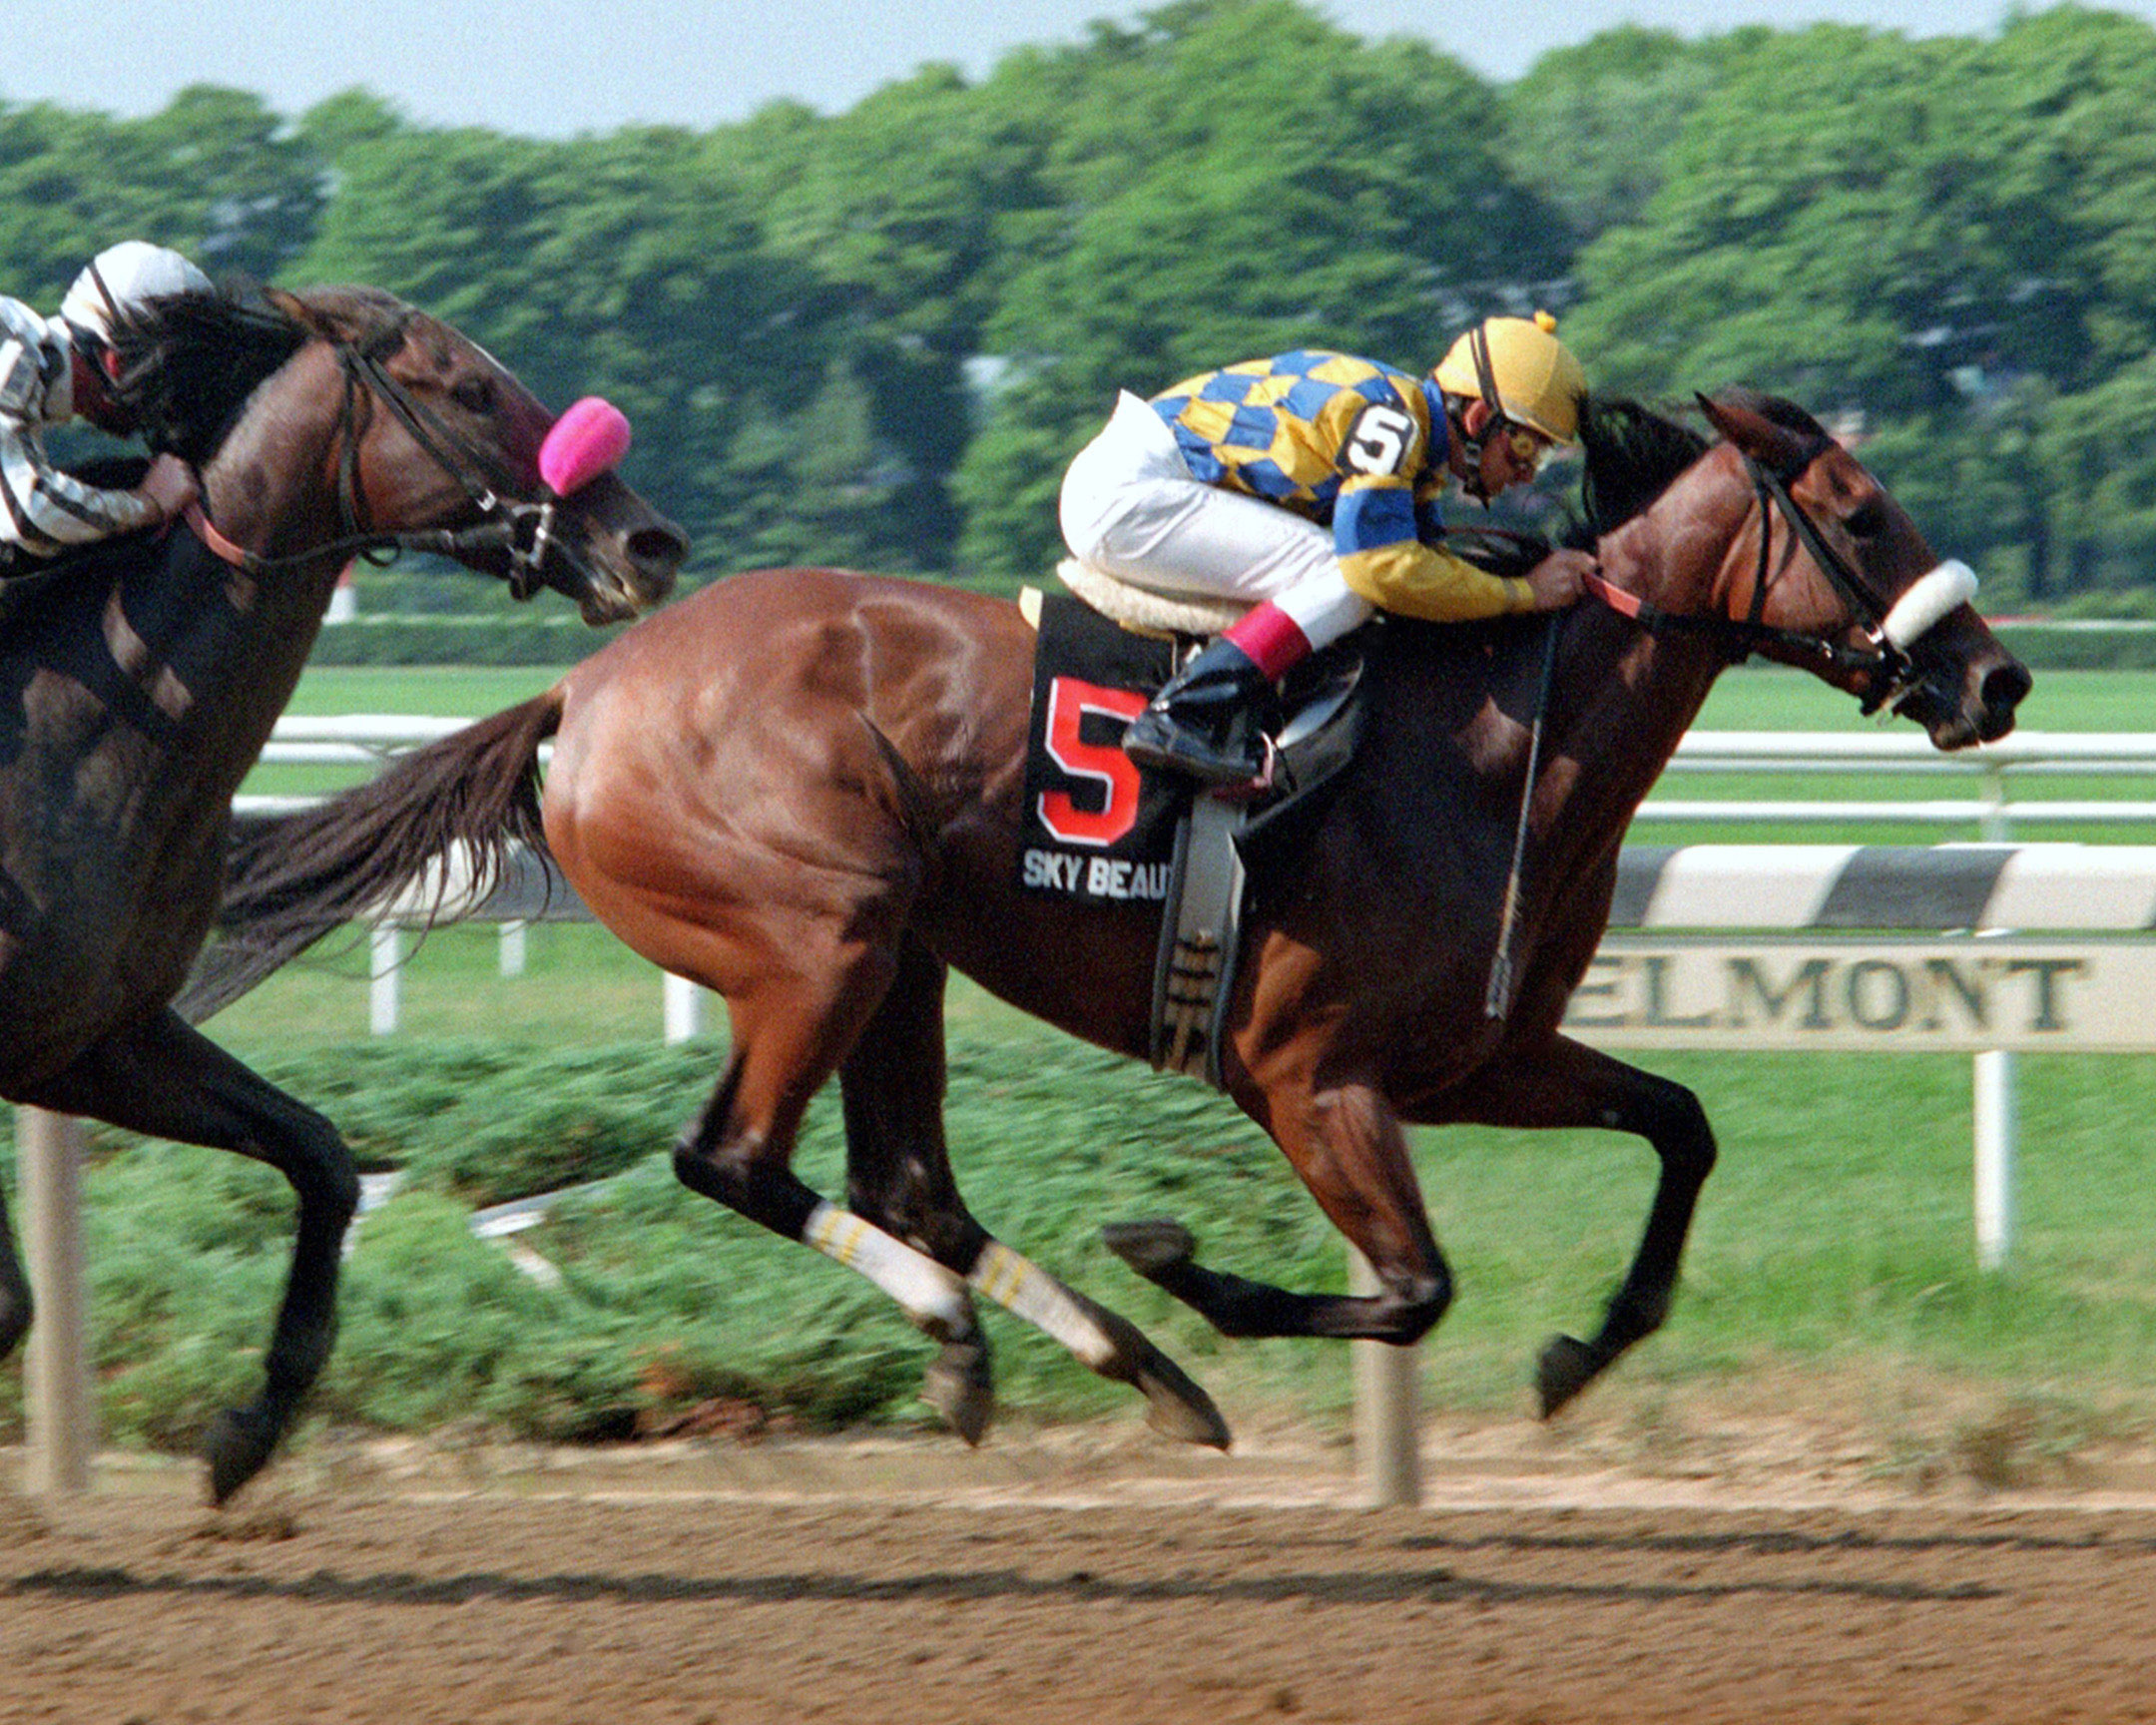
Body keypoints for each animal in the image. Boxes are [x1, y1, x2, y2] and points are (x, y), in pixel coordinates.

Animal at [0, 280, 681, 1491]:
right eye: (470, 389)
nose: (649, 541)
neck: (85, 729)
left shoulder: (90, 1038)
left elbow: (323, 1158)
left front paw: (249, 1428)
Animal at [194, 394, 2026, 1457]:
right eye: (1865, 514)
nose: (1996, 677)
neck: (1500, 731)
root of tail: (584, 693)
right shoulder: (1309, 1074)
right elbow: (1411, 1287)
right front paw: (1187, 1261)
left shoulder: (1472, 1057)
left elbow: (1683, 1125)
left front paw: (1581, 1352)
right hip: (818, 935)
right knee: (738, 1160)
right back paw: (1006, 1340)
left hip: (903, 951)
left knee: (903, 1183)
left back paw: (1127, 1365)